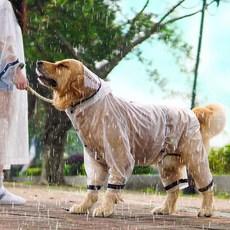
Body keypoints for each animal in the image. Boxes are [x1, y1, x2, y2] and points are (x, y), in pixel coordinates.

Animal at [36, 58, 226, 217]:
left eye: (62, 65)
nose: (38, 62)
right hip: (167, 165)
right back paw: (165, 210)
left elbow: (112, 188)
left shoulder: (119, 156)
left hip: (195, 160)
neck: (89, 103)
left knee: (207, 187)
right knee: (174, 190)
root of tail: (191, 112)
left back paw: (206, 210)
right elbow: (92, 189)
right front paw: (83, 207)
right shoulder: (94, 159)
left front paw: (105, 209)